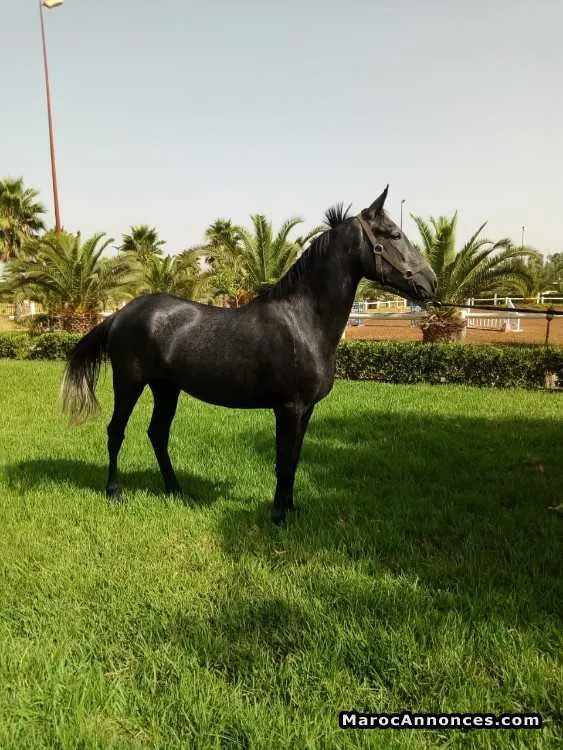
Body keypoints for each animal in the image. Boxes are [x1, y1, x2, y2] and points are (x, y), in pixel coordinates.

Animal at [61, 186, 437, 524]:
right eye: (394, 234)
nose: (430, 283)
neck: (303, 320)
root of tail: (120, 314)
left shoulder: (307, 409)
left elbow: (295, 459)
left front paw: (291, 508)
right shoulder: (289, 408)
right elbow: (284, 460)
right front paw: (278, 517)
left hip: (166, 388)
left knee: (157, 434)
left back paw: (176, 490)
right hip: (129, 384)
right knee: (116, 432)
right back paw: (114, 491)